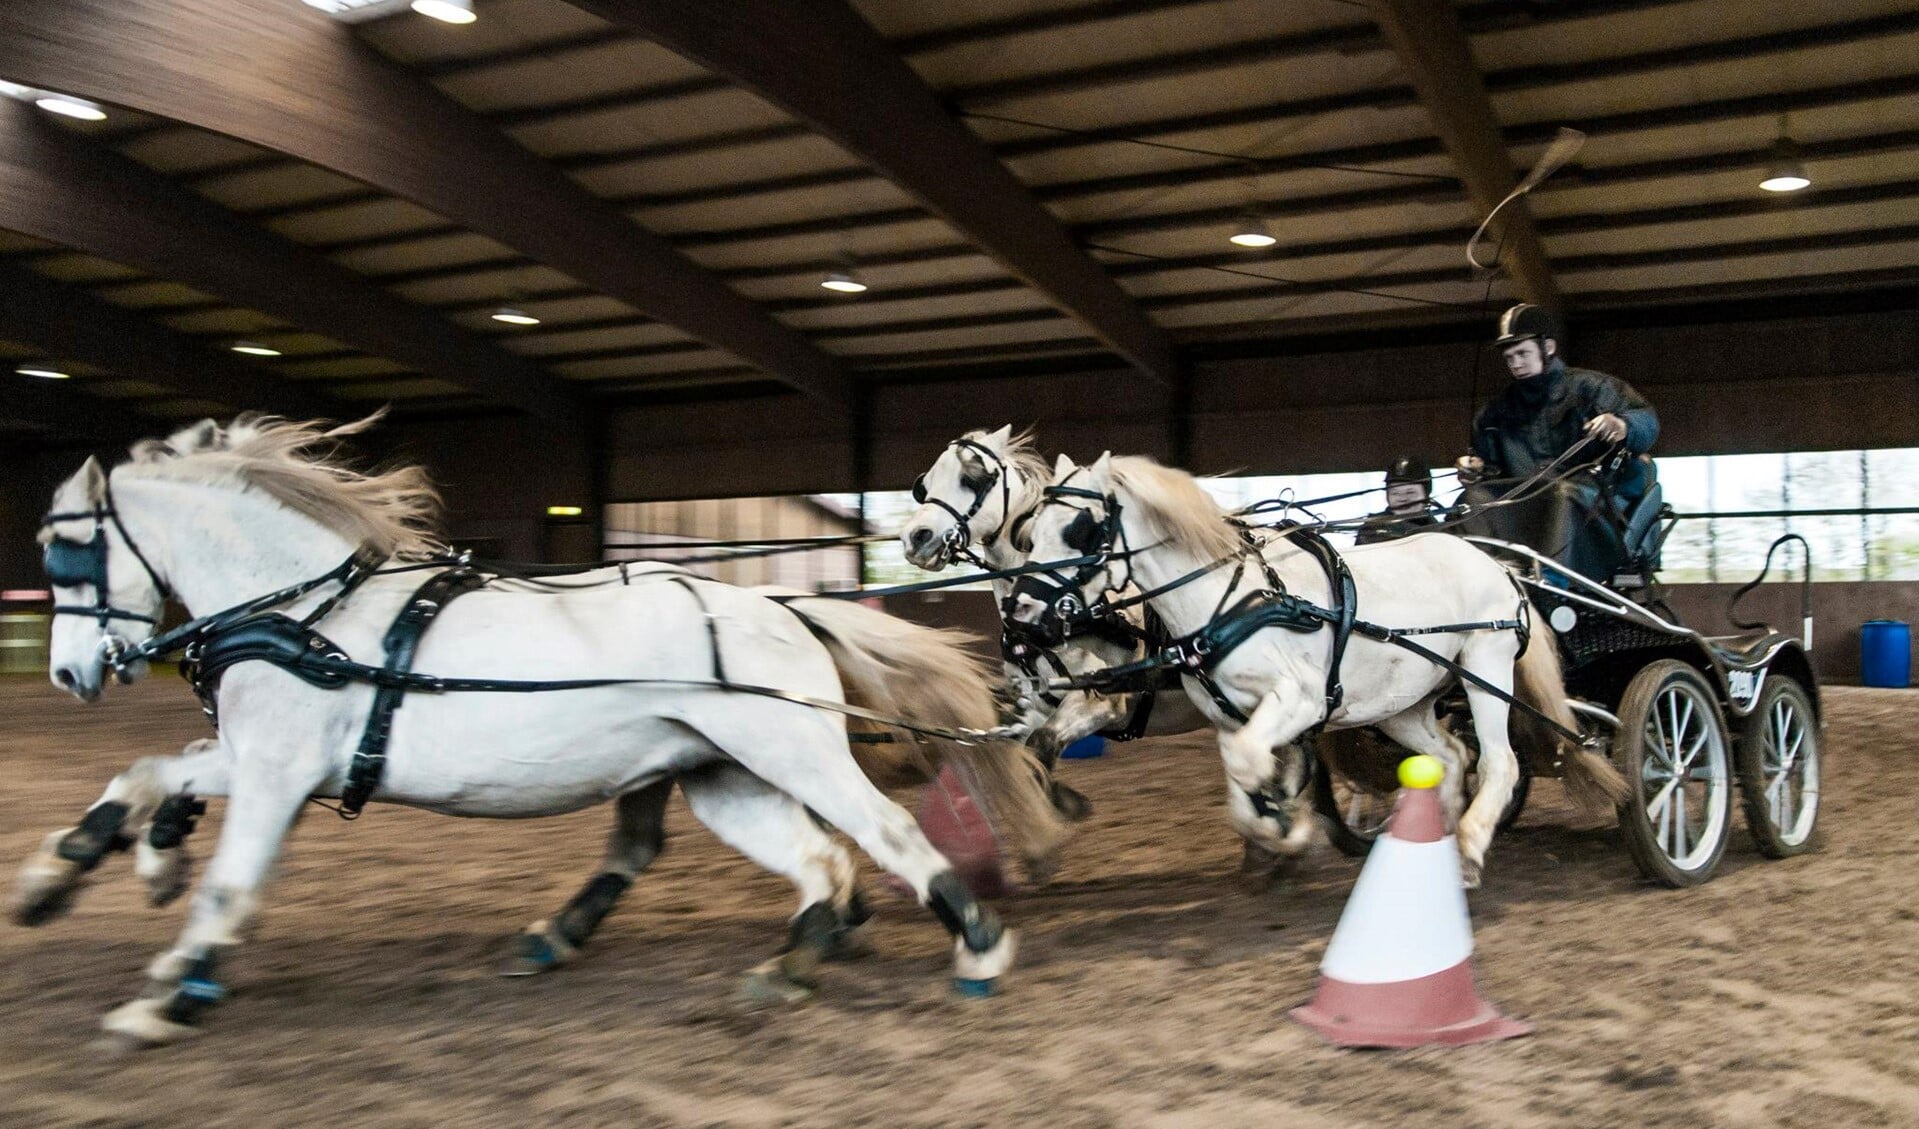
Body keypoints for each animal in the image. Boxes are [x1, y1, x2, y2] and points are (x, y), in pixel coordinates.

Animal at [14, 414, 1043, 1052]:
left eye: (67, 550)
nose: (69, 674)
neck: (305, 615)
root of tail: (778, 605)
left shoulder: (277, 772)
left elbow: (226, 881)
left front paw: (162, 990)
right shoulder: (277, 763)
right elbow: (153, 770)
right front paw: (76, 871)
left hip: (790, 752)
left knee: (883, 834)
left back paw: (979, 948)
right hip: (724, 777)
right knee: (816, 862)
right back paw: (784, 968)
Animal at [1005, 451, 1619, 883]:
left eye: (1081, 529)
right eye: (1030, 533)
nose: (1024, 617)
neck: (1229, 600)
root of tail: (1500, 565)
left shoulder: (1296, 700)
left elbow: (1258, 767)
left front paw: (1287, 823)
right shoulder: (1229, 718)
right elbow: (1242, 779)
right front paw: (1277, 830)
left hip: (1485, 671)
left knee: (1498, 763)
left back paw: (1467, 850)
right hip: (1404, 703)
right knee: (1450, 756)